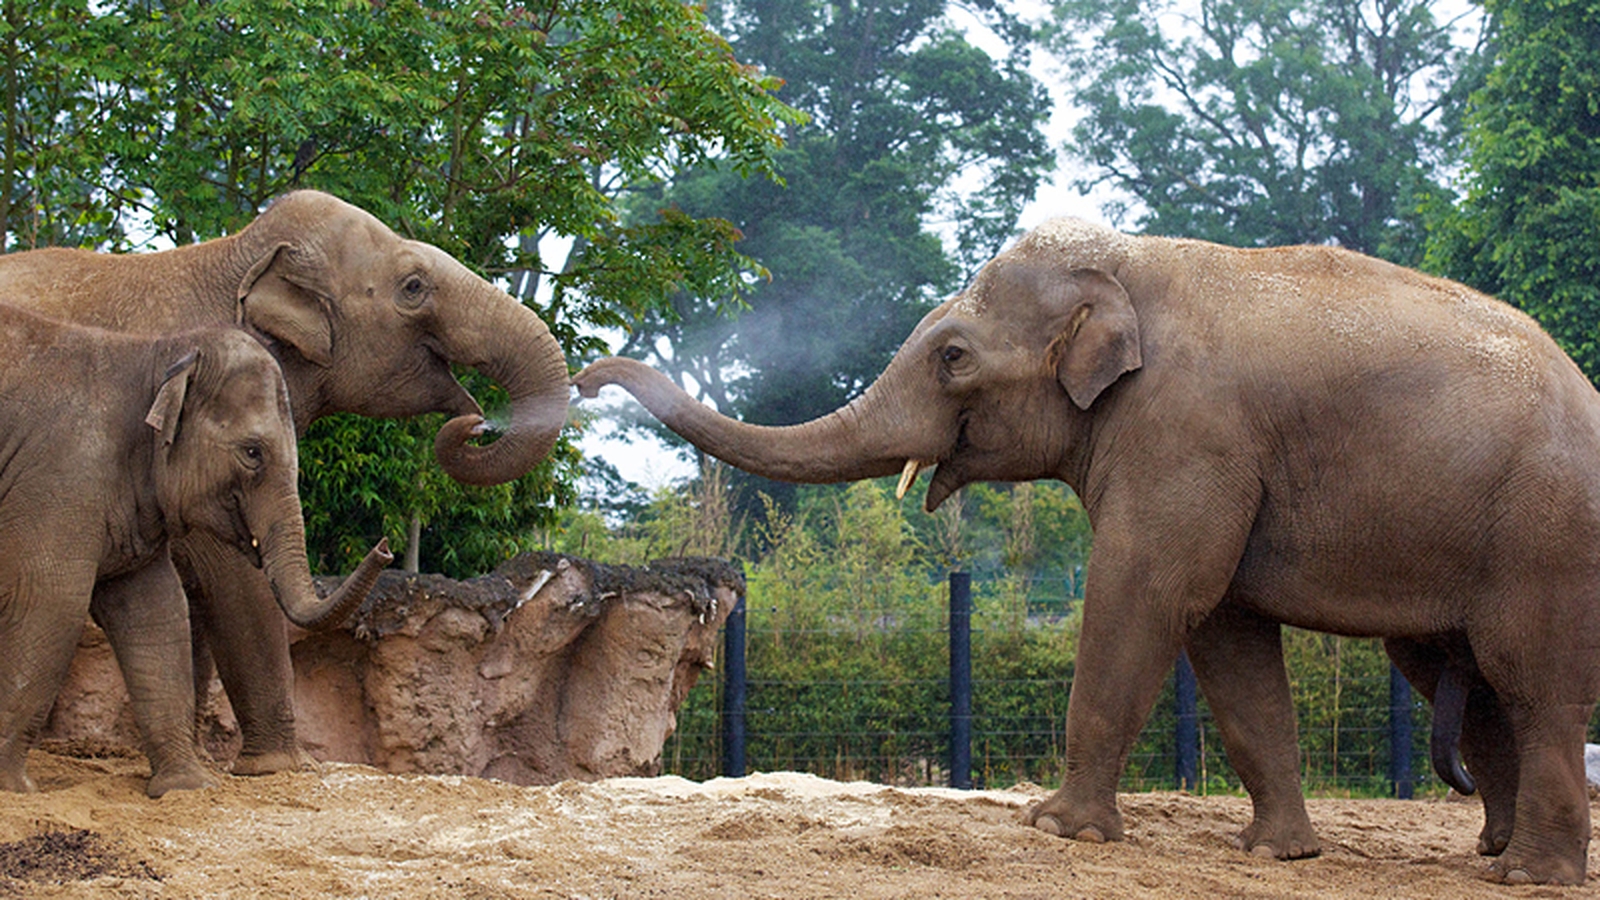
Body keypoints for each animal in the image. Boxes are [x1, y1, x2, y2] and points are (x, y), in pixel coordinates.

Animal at [0, 301, 390, 791]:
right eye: (252, 453)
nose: (385, 546)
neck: (155, 355)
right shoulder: (62, 476)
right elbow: (49, 601)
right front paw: (14, 788)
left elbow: (156, 611)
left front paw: (186, 787)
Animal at [582, 219, 1600, 883]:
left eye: (952, 356)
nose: (588, 378)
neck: (1128, 264)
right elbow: (1226, 635)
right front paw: (1276, 853)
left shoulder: (1186, 433)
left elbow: (1146, 590)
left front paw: (1057, 831)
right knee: (1455, 676)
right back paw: (1494, 853)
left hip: (1547, 532)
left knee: (1531, 678)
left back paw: (1529, 876)